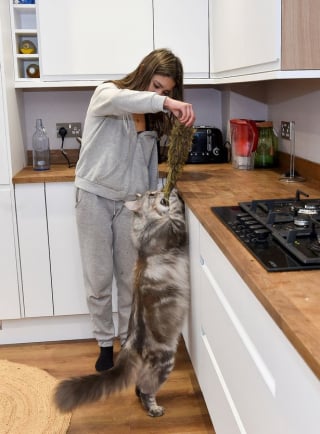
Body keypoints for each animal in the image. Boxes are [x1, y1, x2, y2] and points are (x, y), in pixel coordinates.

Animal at [54, 189, 190, 418]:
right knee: (146, 389)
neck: (145, 229)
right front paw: (174, 194)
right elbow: (176, 213)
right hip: (164, 361)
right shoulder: (174, 230)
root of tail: (131, 343)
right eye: (151, 194)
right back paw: (154, 409)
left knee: (139, 385)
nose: (160, 190)